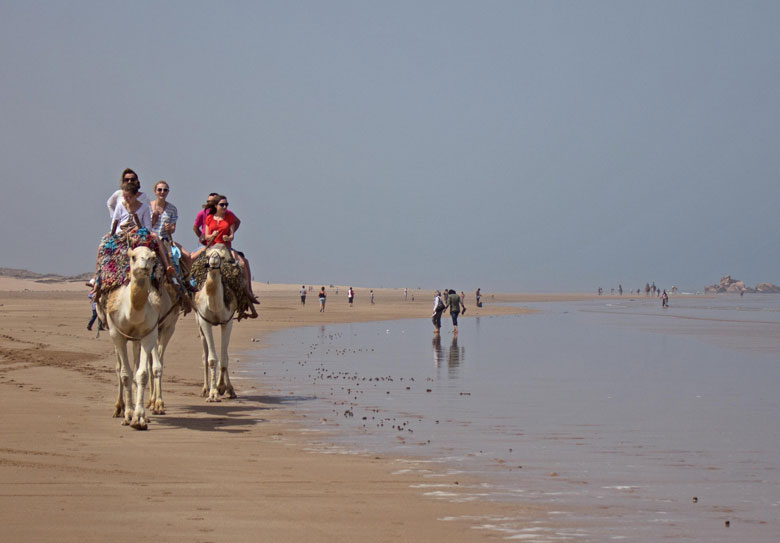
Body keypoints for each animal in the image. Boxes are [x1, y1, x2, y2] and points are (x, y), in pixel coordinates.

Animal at [96, 245, 173, 430]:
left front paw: (139, 418)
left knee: (138, 365)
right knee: (119, 368)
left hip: (139, 339)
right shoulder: (117, 335)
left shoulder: (148, 334)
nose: (144, 266)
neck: (132, 312)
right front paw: (129, 414)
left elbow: (142, 373)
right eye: (133, 257)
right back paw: (119, 408)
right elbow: (125, 374)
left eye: (152, 257)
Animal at [194, 244, 238, 402]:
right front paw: (213, 393)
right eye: (207, 256)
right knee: (204, 354)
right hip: (199, 324)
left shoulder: (227, 321)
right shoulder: (204, 321)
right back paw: (205, 389)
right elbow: (212, 359)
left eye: (224, 257)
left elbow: (224, 358)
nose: (213, 259)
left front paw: (223, 387)